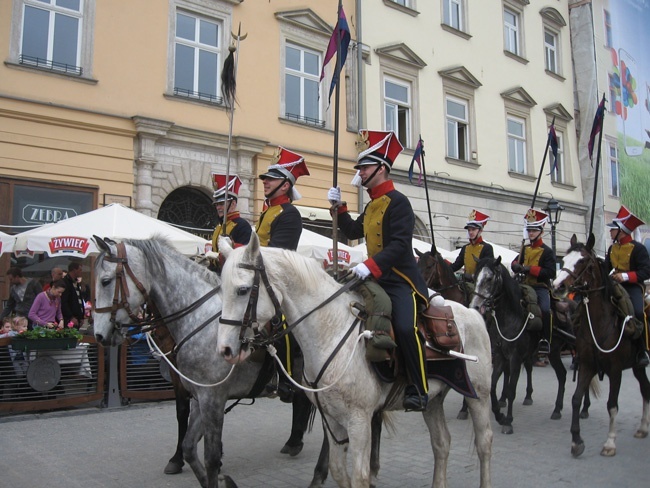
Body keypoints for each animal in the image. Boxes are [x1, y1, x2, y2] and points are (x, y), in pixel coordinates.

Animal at [91, 237, 324, 488]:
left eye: (105, 281)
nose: (99, 335)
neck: (199, 321)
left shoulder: (212, 397)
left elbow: (209, 455)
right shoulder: (196, 393)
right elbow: (188, 442)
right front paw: (195, 467)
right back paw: (294, 443)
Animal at [218, 234, 492, 486]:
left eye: (242, 290)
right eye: (222, 289)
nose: (226, 350)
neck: (330, 330)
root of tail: (472, 313)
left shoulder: (359, 421)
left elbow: (360, 476)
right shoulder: (331, 420)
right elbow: (339, 472)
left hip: (479, 395)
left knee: (484, 443)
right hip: (434, 398)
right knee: (441, 443)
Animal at [548, 234, 644, 456]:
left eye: (583, 261)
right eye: (564, 261)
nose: (557, 286)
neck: (600, 323)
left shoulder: (615, 370)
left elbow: (612, 405)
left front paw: (609, 443)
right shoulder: (587, 364)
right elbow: (575, 398)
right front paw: (576, 440)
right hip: (636, 367)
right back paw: (643, 428)